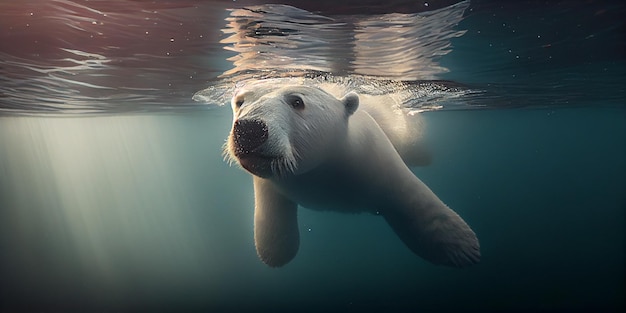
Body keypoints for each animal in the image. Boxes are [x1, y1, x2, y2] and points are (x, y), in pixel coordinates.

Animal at [224, 84, 478, 266]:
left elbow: (412, 197)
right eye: (240, 101)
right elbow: (272, 225)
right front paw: (276, 252)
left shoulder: (372, 154)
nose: (249, 130)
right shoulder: (272, 182)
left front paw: (463, 248)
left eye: (297, 101)